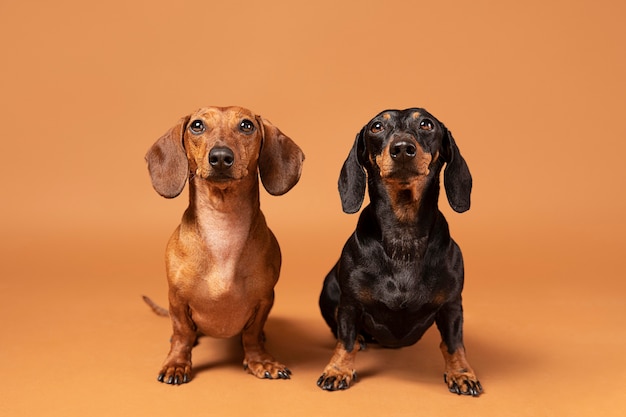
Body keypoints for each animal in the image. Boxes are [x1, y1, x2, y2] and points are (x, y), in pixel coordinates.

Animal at [144, 106, 304, 384]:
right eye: (197, 125)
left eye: (246, 126)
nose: (220, 157)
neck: (223, 230)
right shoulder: (176, 299)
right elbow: (183, 333)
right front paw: (176, 363)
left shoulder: (265, 299)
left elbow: (251, 334)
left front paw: (260, 360)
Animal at [316, 105, 482, 394]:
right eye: (377, 127)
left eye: (426, 124)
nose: (403, 148)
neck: (403, 236)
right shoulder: (349, 304)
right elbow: (345, 340)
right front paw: (337, 370)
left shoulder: (452, 305)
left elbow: (453, 344)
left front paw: (462, 373)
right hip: (328, 288)